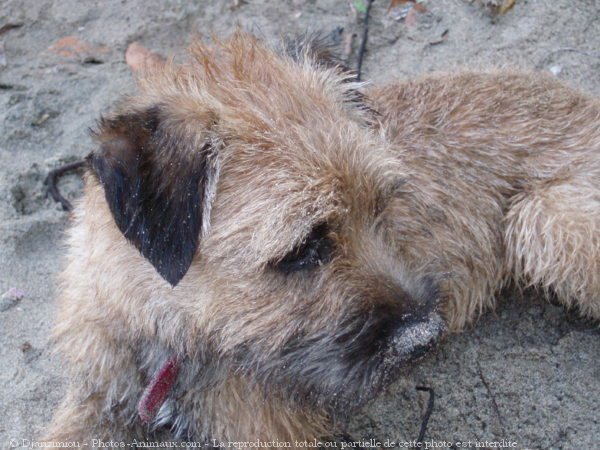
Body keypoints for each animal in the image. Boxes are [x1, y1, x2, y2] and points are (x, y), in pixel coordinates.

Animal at [45, 31, 600, 446]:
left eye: (381, 206)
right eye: (302, 249)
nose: (426, 337)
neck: (171, 338)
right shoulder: (95, 399)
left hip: (543, 220)